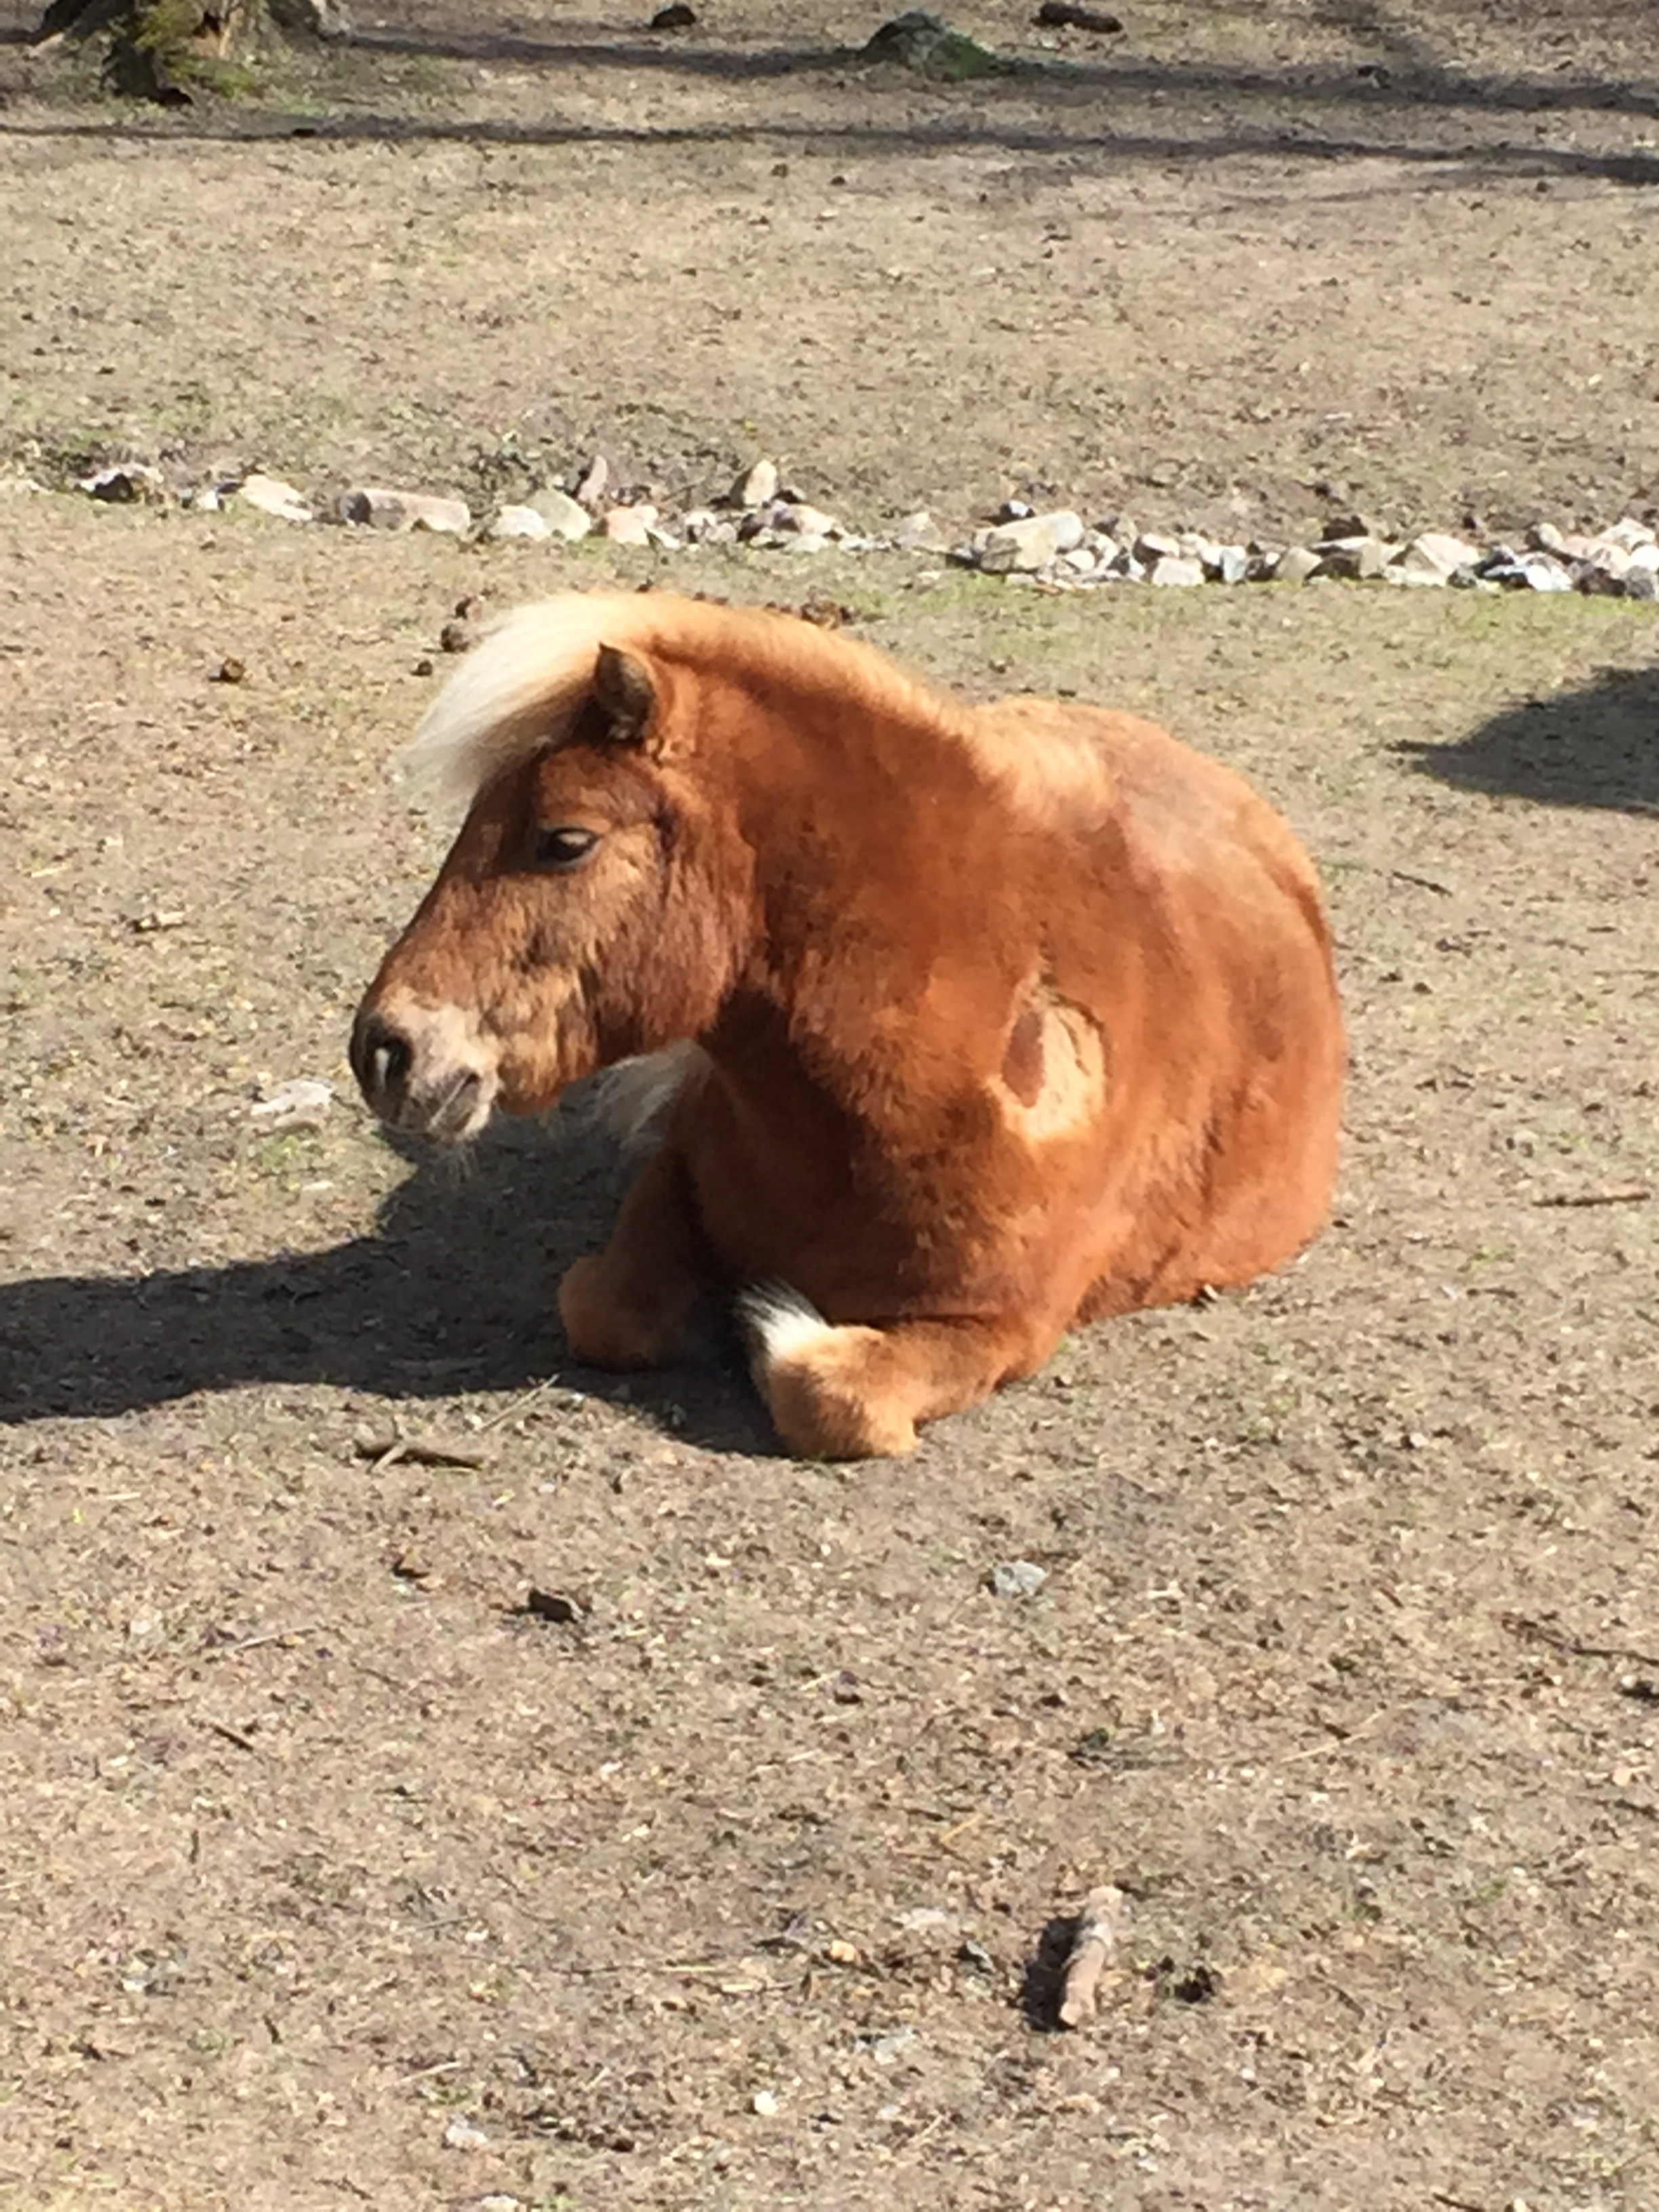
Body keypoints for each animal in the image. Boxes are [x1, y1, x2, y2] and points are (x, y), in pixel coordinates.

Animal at [354, 592, 1353, 1451]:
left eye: (565, 841)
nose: (384, 1052)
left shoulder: (1004, 1325)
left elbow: (828, 1391)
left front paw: (780, 1323)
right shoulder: (672, 1183)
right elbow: (601, 1307)